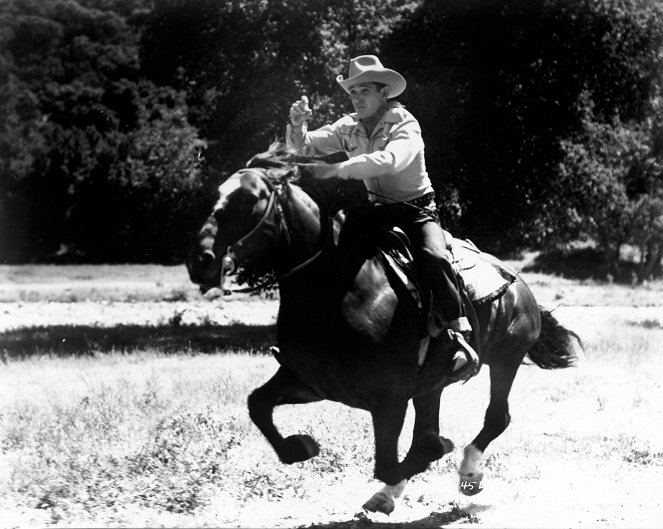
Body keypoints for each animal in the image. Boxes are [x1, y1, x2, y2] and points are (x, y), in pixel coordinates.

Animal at [188, 144, 580, 512]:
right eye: (217, 193)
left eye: (253, 197)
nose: (201, 260)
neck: (336, 288)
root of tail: (518, 284)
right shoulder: (310, 381)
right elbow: (257, 404)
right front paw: (301, 447)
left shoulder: (388, 398)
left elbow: (394, 461)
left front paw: (436, 450)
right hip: (431, 385)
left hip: (505, 360)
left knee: (496, 418)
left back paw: (469, 472)